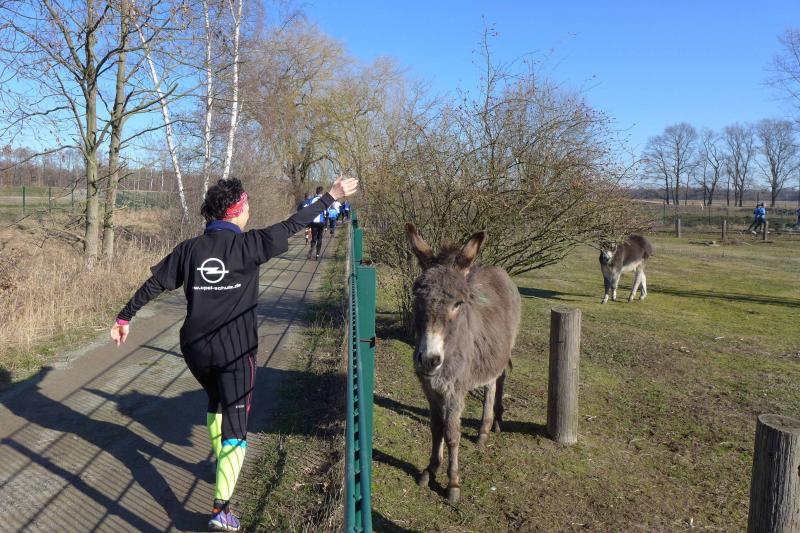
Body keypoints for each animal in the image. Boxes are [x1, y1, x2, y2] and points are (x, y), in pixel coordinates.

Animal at [405, 223, 521, 504]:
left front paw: (453, 483)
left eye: (458, 303)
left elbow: (452, 433)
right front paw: (430, 470)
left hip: (507, 348)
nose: (429, 359)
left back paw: (489, 425)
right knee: (491, 381)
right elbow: (436, 428)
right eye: (417, 296)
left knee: (498, 380)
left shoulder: (455, 390)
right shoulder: (429, 388)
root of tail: (497, 269)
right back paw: (486, 429)